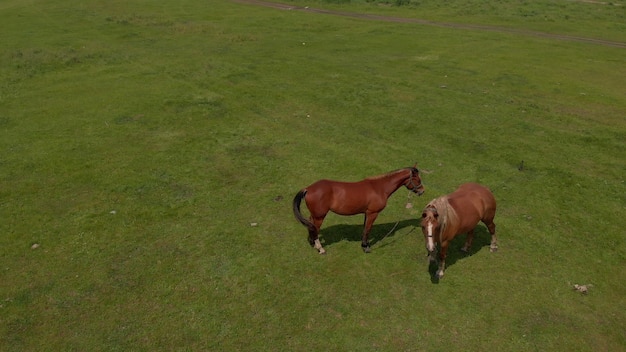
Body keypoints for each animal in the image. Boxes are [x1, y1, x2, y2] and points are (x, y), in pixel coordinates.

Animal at [292, 167, 424, 253]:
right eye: (418, 180)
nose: (422, 191)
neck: (379, 187)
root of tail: (308, 188)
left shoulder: (367, 213)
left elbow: (365, 228)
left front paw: (364, 244)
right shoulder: (372, 213)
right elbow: (367, 229)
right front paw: (366, 247)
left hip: (314, 215)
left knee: (311, 226)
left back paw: (312, 243)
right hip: (320, 216)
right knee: (315, 229)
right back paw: (320, 248)